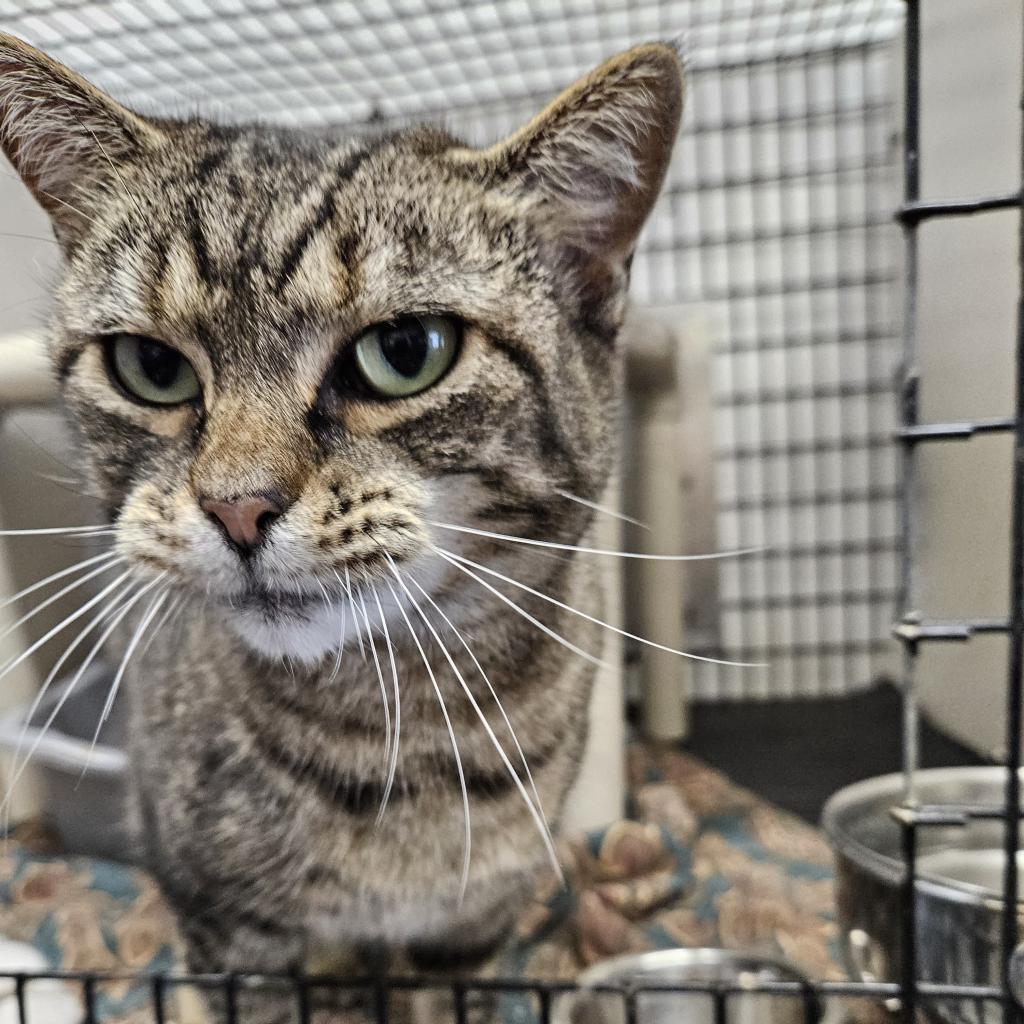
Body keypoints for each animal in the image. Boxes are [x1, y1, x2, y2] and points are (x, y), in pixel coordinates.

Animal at [2, 32, 688, 1024]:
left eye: (405, 353)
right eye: (150, 367)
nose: (237, 504)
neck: (401, 730)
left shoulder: (471, 931)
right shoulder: (230, 936)